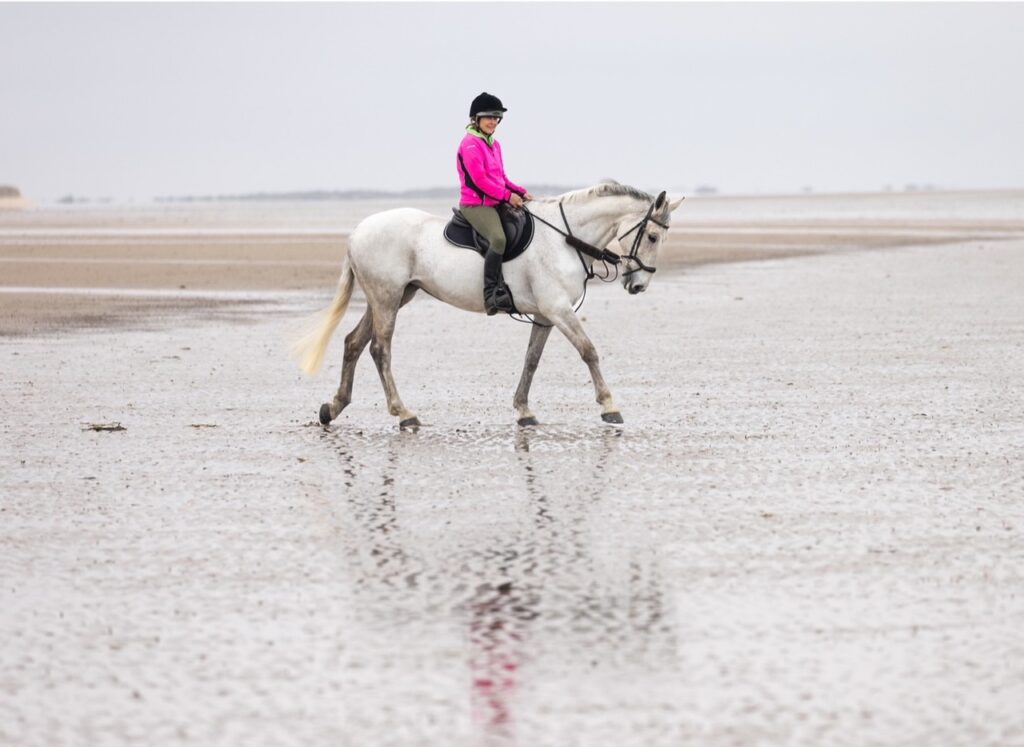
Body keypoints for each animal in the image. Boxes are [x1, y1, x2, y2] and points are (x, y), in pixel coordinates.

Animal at [291, 181, 685, 428]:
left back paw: (333, 408)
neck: (565, 239)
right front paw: (610, 407)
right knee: (380, 350)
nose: (639, 284)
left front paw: (524, 411)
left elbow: (531, 361)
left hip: (393, 296)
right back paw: (404, 414)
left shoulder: (544, 316)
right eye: (652, 236)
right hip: (387, 297)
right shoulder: (558, 309)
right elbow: (589, 352)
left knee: (353, 343)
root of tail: (357, 231)